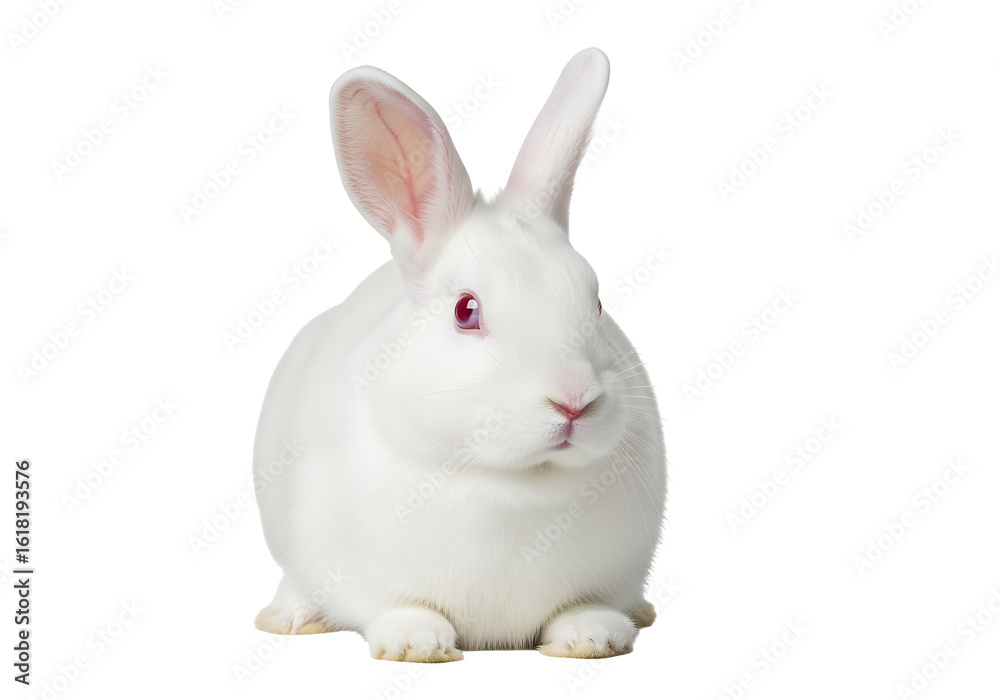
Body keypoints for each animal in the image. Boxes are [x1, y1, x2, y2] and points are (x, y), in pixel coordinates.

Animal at [253, 47, 666, 662]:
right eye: (465, 310)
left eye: (596, 302)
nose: (573, 401)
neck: (514, 483)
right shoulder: (362, 574)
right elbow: (395, 605)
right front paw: (416, 642)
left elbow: (583, 605)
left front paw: (592, 635)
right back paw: (290, 617)